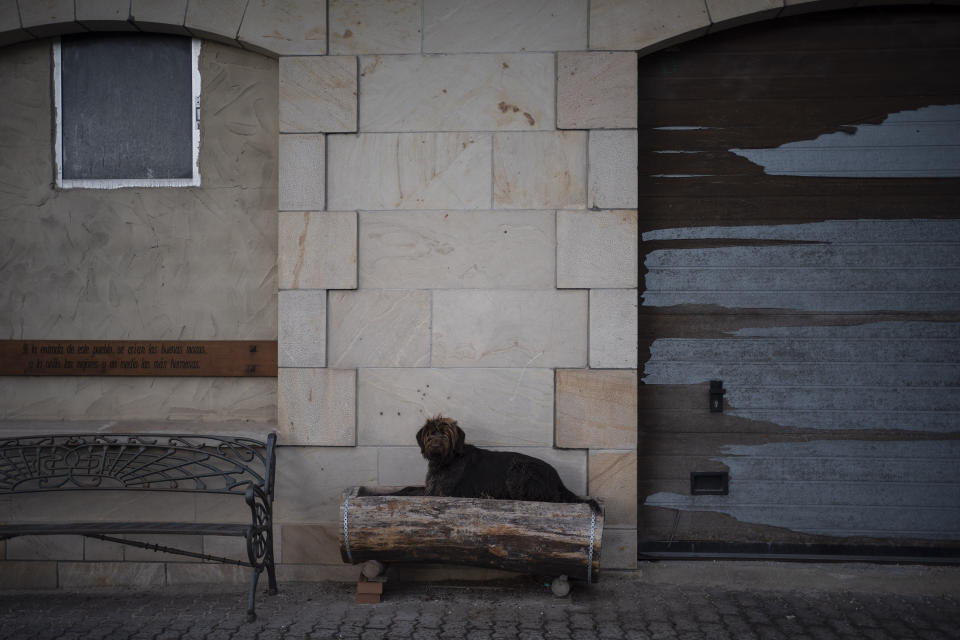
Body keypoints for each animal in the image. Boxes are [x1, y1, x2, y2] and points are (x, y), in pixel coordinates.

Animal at [414, 416, 600, 516]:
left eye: (446, 433)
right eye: (430, 433)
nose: (436, 443)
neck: (445, 461)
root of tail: (557, 479)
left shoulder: (441, 493)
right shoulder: (430, 489)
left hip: (518, 470)